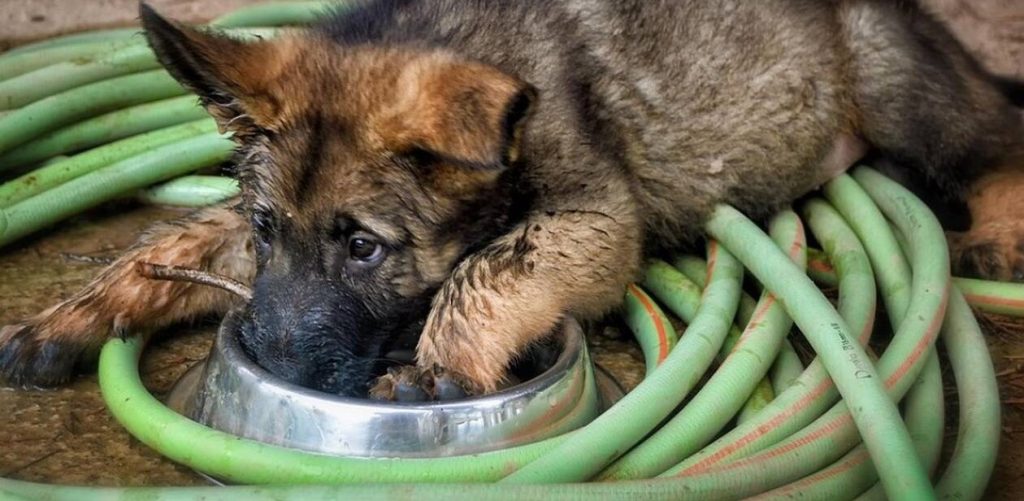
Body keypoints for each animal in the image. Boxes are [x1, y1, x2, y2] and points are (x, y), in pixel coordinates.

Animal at [2, 0, 1024, 397]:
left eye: (365, 247)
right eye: (264, 229)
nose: (279, 366)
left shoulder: (595, 217)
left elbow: (490, 268)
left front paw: (435, 369)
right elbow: (162, 246)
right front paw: (66, 320)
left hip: (899, 91)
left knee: (995, 138)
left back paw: (998, 229)